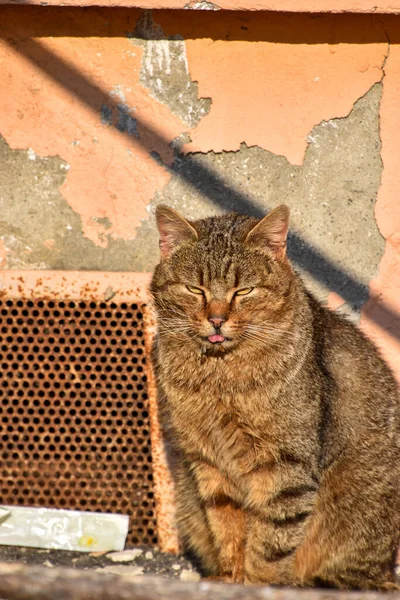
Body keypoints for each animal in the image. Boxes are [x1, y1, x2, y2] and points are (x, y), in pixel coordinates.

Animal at [149, 204, 400, 588]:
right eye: (194, 289)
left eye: (244, 291)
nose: (217, 320)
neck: (220, 376)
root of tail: (385, 569)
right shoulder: (209, 463)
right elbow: (228, 530)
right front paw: (230, 579)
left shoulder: (285, 466)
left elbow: (269, 541)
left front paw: (256, 585)